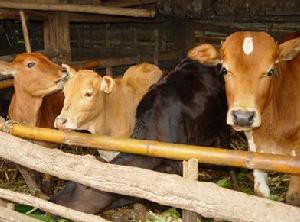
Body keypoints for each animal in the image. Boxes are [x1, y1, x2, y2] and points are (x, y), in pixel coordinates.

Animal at [0, 52, 67, 196]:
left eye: (47, 58)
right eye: (30, 64)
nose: (63, 70)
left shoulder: (50, 147)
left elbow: (47, 183)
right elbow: (32, 184)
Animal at [189, 31, 300, 206]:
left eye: (270, 71)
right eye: (224, 69)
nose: (242, 117)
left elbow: (293, 198)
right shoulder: (255, 151)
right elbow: (261, 192)